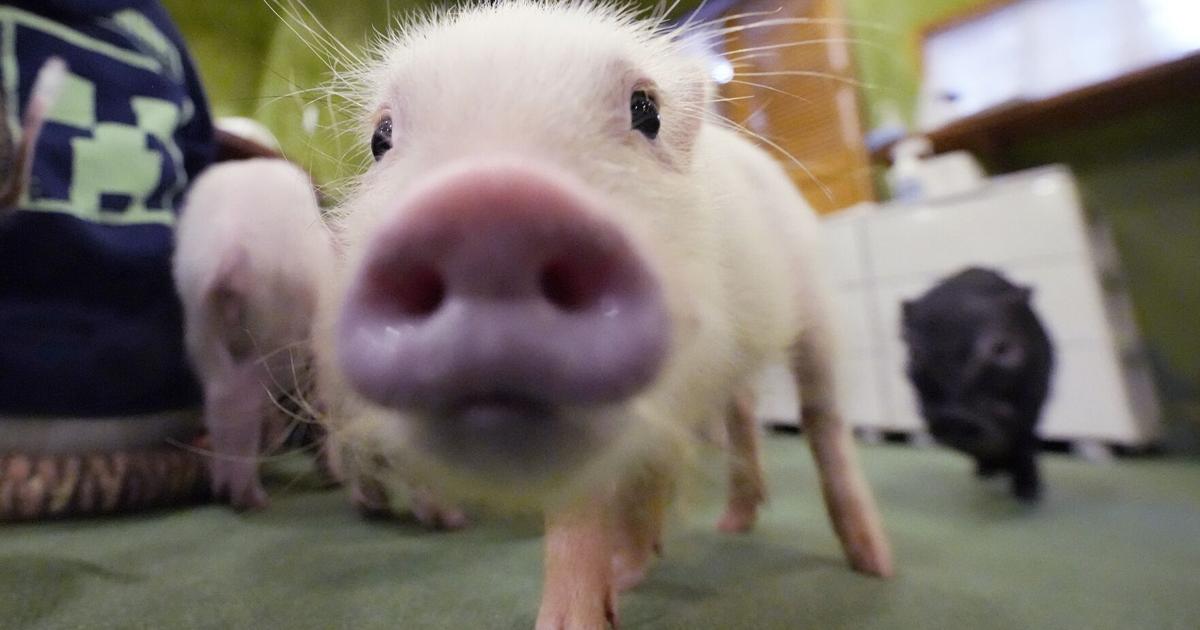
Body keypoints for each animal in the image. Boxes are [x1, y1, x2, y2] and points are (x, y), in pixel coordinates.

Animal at [173, 159, 339, 509]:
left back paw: (224, 489)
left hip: (200, 324)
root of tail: (231, 252)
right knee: (247, 401)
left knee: (222, 398)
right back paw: (251, 498)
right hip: (275, 337)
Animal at [310, 2, 893, 626]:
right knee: (740, 414)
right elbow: (597, 497)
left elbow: (623, 487)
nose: (490, 211)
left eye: (646, 111)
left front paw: (610, 587)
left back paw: (875, 564)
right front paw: (600, 593)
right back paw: (732, 525)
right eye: (381, 137)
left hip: (815, 305)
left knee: (822, 416)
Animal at [901, 266, 1055, 502]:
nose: (954, 416)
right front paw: (987, 471)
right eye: (915, 354)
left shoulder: (1033, 402)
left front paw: (1027, 495)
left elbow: (1024, 443)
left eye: (1002, 349)